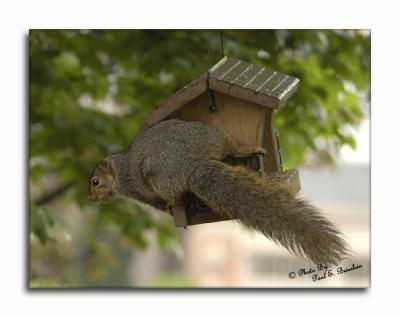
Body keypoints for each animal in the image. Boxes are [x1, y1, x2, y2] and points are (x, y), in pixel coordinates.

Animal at [87, 118, 346, 264]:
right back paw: (247, 148)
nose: (89, 198)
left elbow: (158, 203)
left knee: (174, 194)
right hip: (213, 138)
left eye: (95, 182)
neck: (119, 171)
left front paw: (170, 209)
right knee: (230, 146)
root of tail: (191, 165)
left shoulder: (139, 191)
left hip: (159, 179)